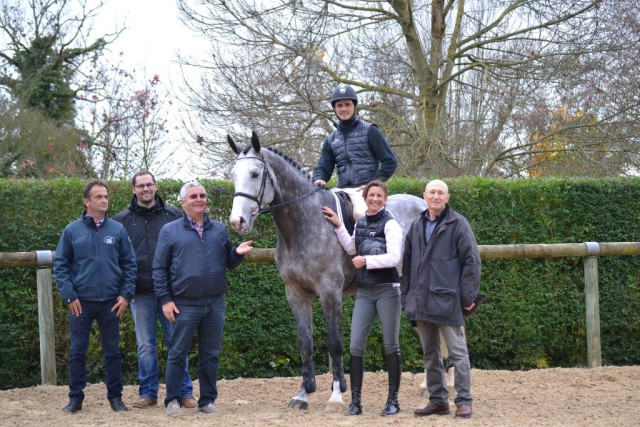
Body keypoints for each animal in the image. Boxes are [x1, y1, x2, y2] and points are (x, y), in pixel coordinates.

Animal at [228, 133, 428, 412]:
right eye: (233, 175)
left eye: (255, 174)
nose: (238, 221)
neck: (303, 224)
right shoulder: (296, 294)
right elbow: (305, 343)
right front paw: (304, 393)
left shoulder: (329, 291)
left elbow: (335, 343)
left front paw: (336, 394)